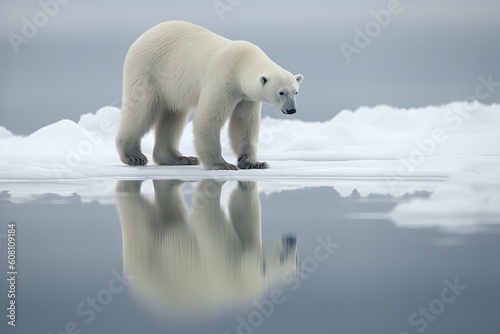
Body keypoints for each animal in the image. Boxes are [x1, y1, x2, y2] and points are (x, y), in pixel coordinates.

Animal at [116, 20, 304, 170]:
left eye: (295, 91)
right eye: (281, 92)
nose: (291, 110)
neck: (242, 62)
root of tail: (141, 38)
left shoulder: (246, 97)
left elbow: (244, 124)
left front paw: (253, 163)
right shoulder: (223, 78)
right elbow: (208, 118)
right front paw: (222, 164)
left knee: (174, 114)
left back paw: (182, 158)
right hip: (149, 71)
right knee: (142, 110)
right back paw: (133, 156)